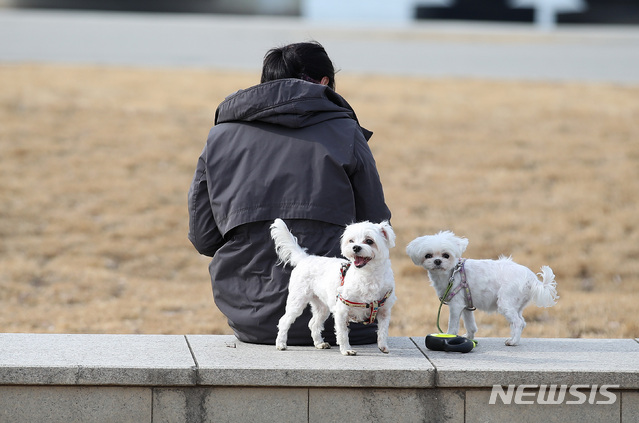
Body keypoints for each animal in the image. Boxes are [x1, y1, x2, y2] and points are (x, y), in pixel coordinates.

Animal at [272, 220, 398, 356]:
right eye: (351, 241)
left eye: (369, 241)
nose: (355, 247)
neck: (368, 276)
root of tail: (305, 258)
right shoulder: (342, 311)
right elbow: (343, 334)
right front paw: (346, 349)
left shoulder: (384, 311)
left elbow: (383, 331)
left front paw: (383, 346)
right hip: (297, 301)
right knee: (284, 321)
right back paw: (280, 344)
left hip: (322, 307)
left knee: (313, 324)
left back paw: (319, 343)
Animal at [408, 232, 556, 348]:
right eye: (428, 255)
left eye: (446, 255)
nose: (437, 261)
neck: (451, 273)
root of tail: (532, 279)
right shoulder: (466, 305)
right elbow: (470, 325)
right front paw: (469, 337)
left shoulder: (456, 305)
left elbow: (453, 326)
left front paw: (449, 337)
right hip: (517, 305)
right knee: (521, 322)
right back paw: (515, 339)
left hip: (505, 303)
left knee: (518, 323)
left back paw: (513, 341)